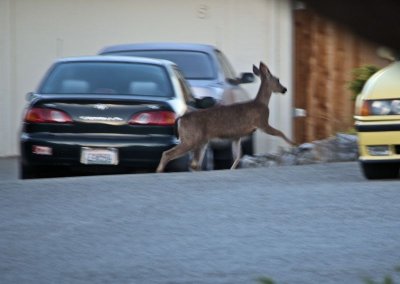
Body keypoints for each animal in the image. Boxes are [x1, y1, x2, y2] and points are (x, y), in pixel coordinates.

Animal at [155, 61, 294, 173]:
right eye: (277, 79)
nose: (285, 89)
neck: (261, 103)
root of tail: (180, 119)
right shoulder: (262, 122)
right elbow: (280, 132)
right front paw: (293, 143)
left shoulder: (237, 136)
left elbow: (238, 156)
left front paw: (231, 169)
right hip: (191, 139)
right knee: (169, 154)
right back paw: (159, 171)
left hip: (200, 141)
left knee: (193, 163)